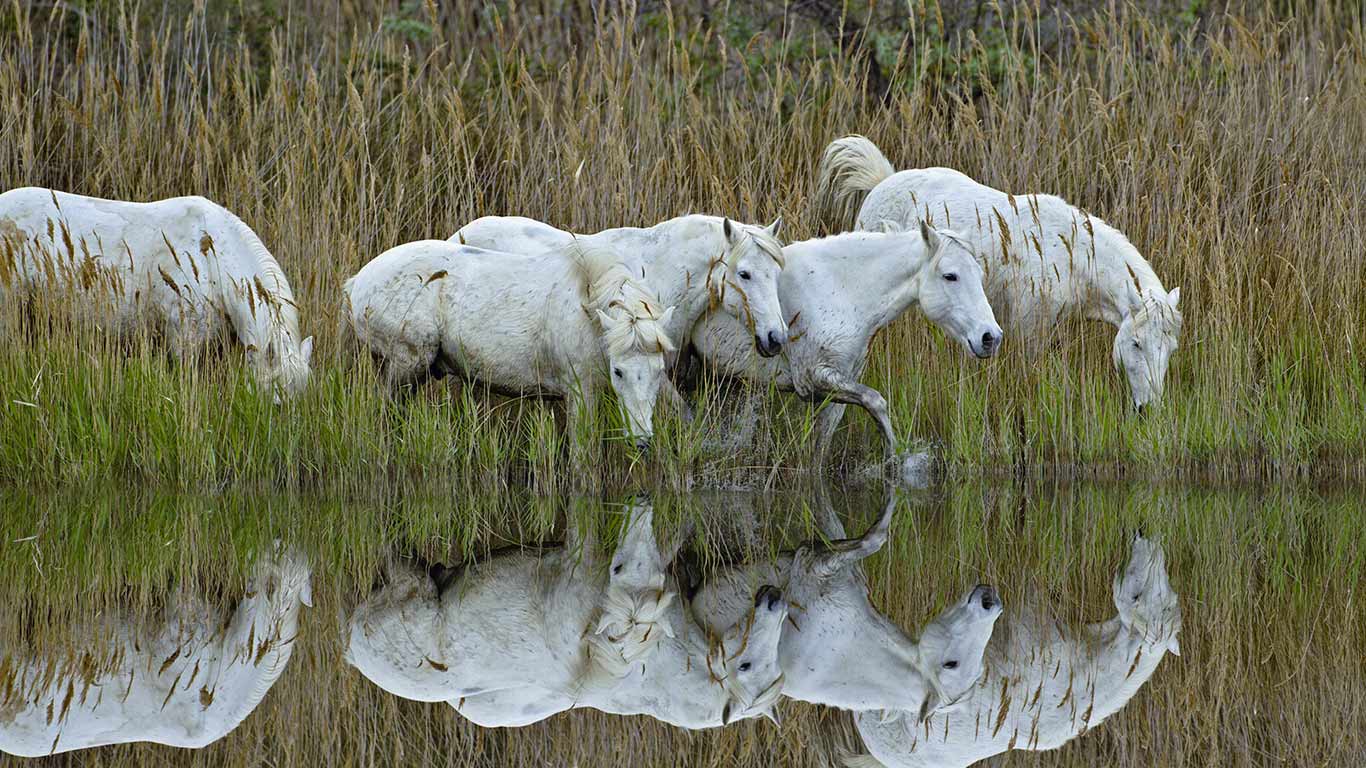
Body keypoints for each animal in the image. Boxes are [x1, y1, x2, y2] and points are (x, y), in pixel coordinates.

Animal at [343, 240, 675, 447]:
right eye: (619, 371)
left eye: (658, 371)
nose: (642, 441)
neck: (587, 306)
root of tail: (357, 282)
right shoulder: (580, 395)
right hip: (405, 367)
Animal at [685, 490, 1003, 719]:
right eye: (952, 664)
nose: (991, 602)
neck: (846, 649)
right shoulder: (819, 559)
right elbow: (869, 536)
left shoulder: (814, 562)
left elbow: (872, 539)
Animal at [690, 222, 1002, 463]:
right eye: (950, 276)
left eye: (979, 274)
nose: (991, 337)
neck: (838, 289)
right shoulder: (816, 376)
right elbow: (877, 402)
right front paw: (896, 461)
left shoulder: (838, 390)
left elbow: (820, 451)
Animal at [816, 137, 1183, 412]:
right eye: (1135, 343)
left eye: (1170, 349)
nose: (1149, 409)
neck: (1074, 253)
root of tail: (882, 182)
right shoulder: (1029, 328)